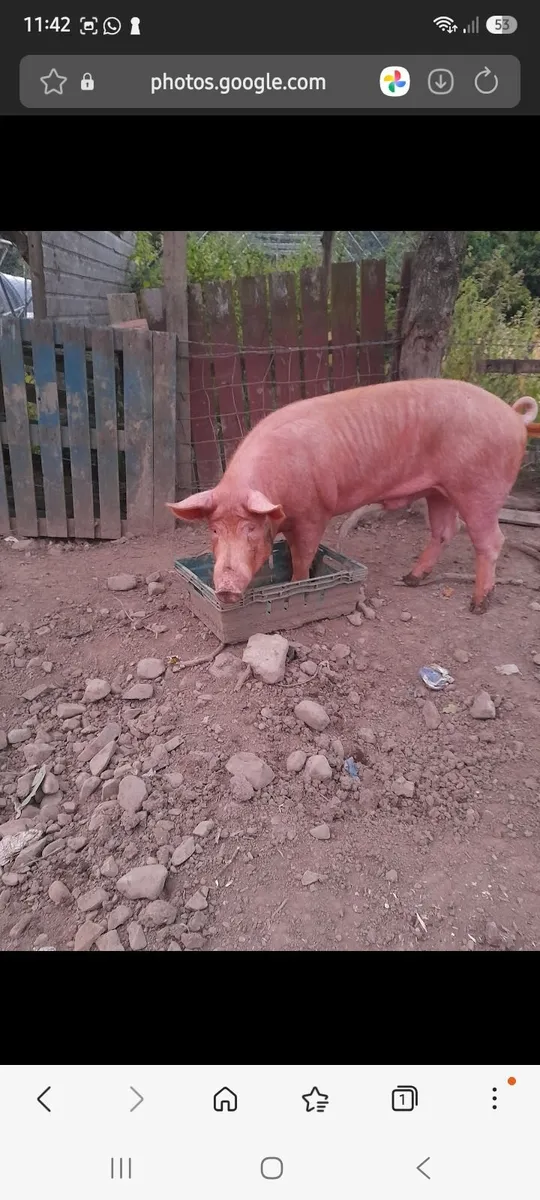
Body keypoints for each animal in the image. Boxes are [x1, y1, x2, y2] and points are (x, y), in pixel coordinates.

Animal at [167, 379, 538, 614]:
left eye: (250, 529)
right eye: (214, 530)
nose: (226, 588)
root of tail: (513, 416)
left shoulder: (315, 513)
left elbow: (303, 557)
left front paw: (298, 585)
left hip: (480, 489)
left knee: (491, 541)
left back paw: (477, 606)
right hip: (439, 490)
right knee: (445, 530)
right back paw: (410, 579)